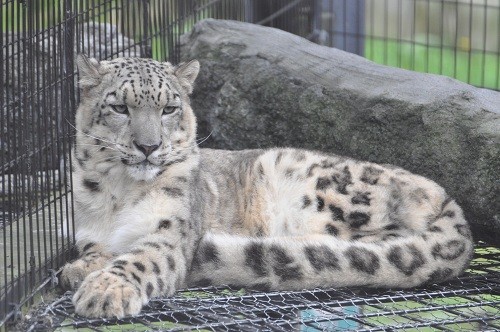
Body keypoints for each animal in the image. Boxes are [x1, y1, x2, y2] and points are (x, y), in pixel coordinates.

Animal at [60, 55, 474, 318]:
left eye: (168, 108)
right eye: (119, 107)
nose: (149, 146)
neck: (120, 192)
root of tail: (446, 195)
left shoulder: (170, 232)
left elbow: (139, 258)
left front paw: (105, 291)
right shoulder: (89, 229)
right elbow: (97, 250)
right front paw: (81, 270)